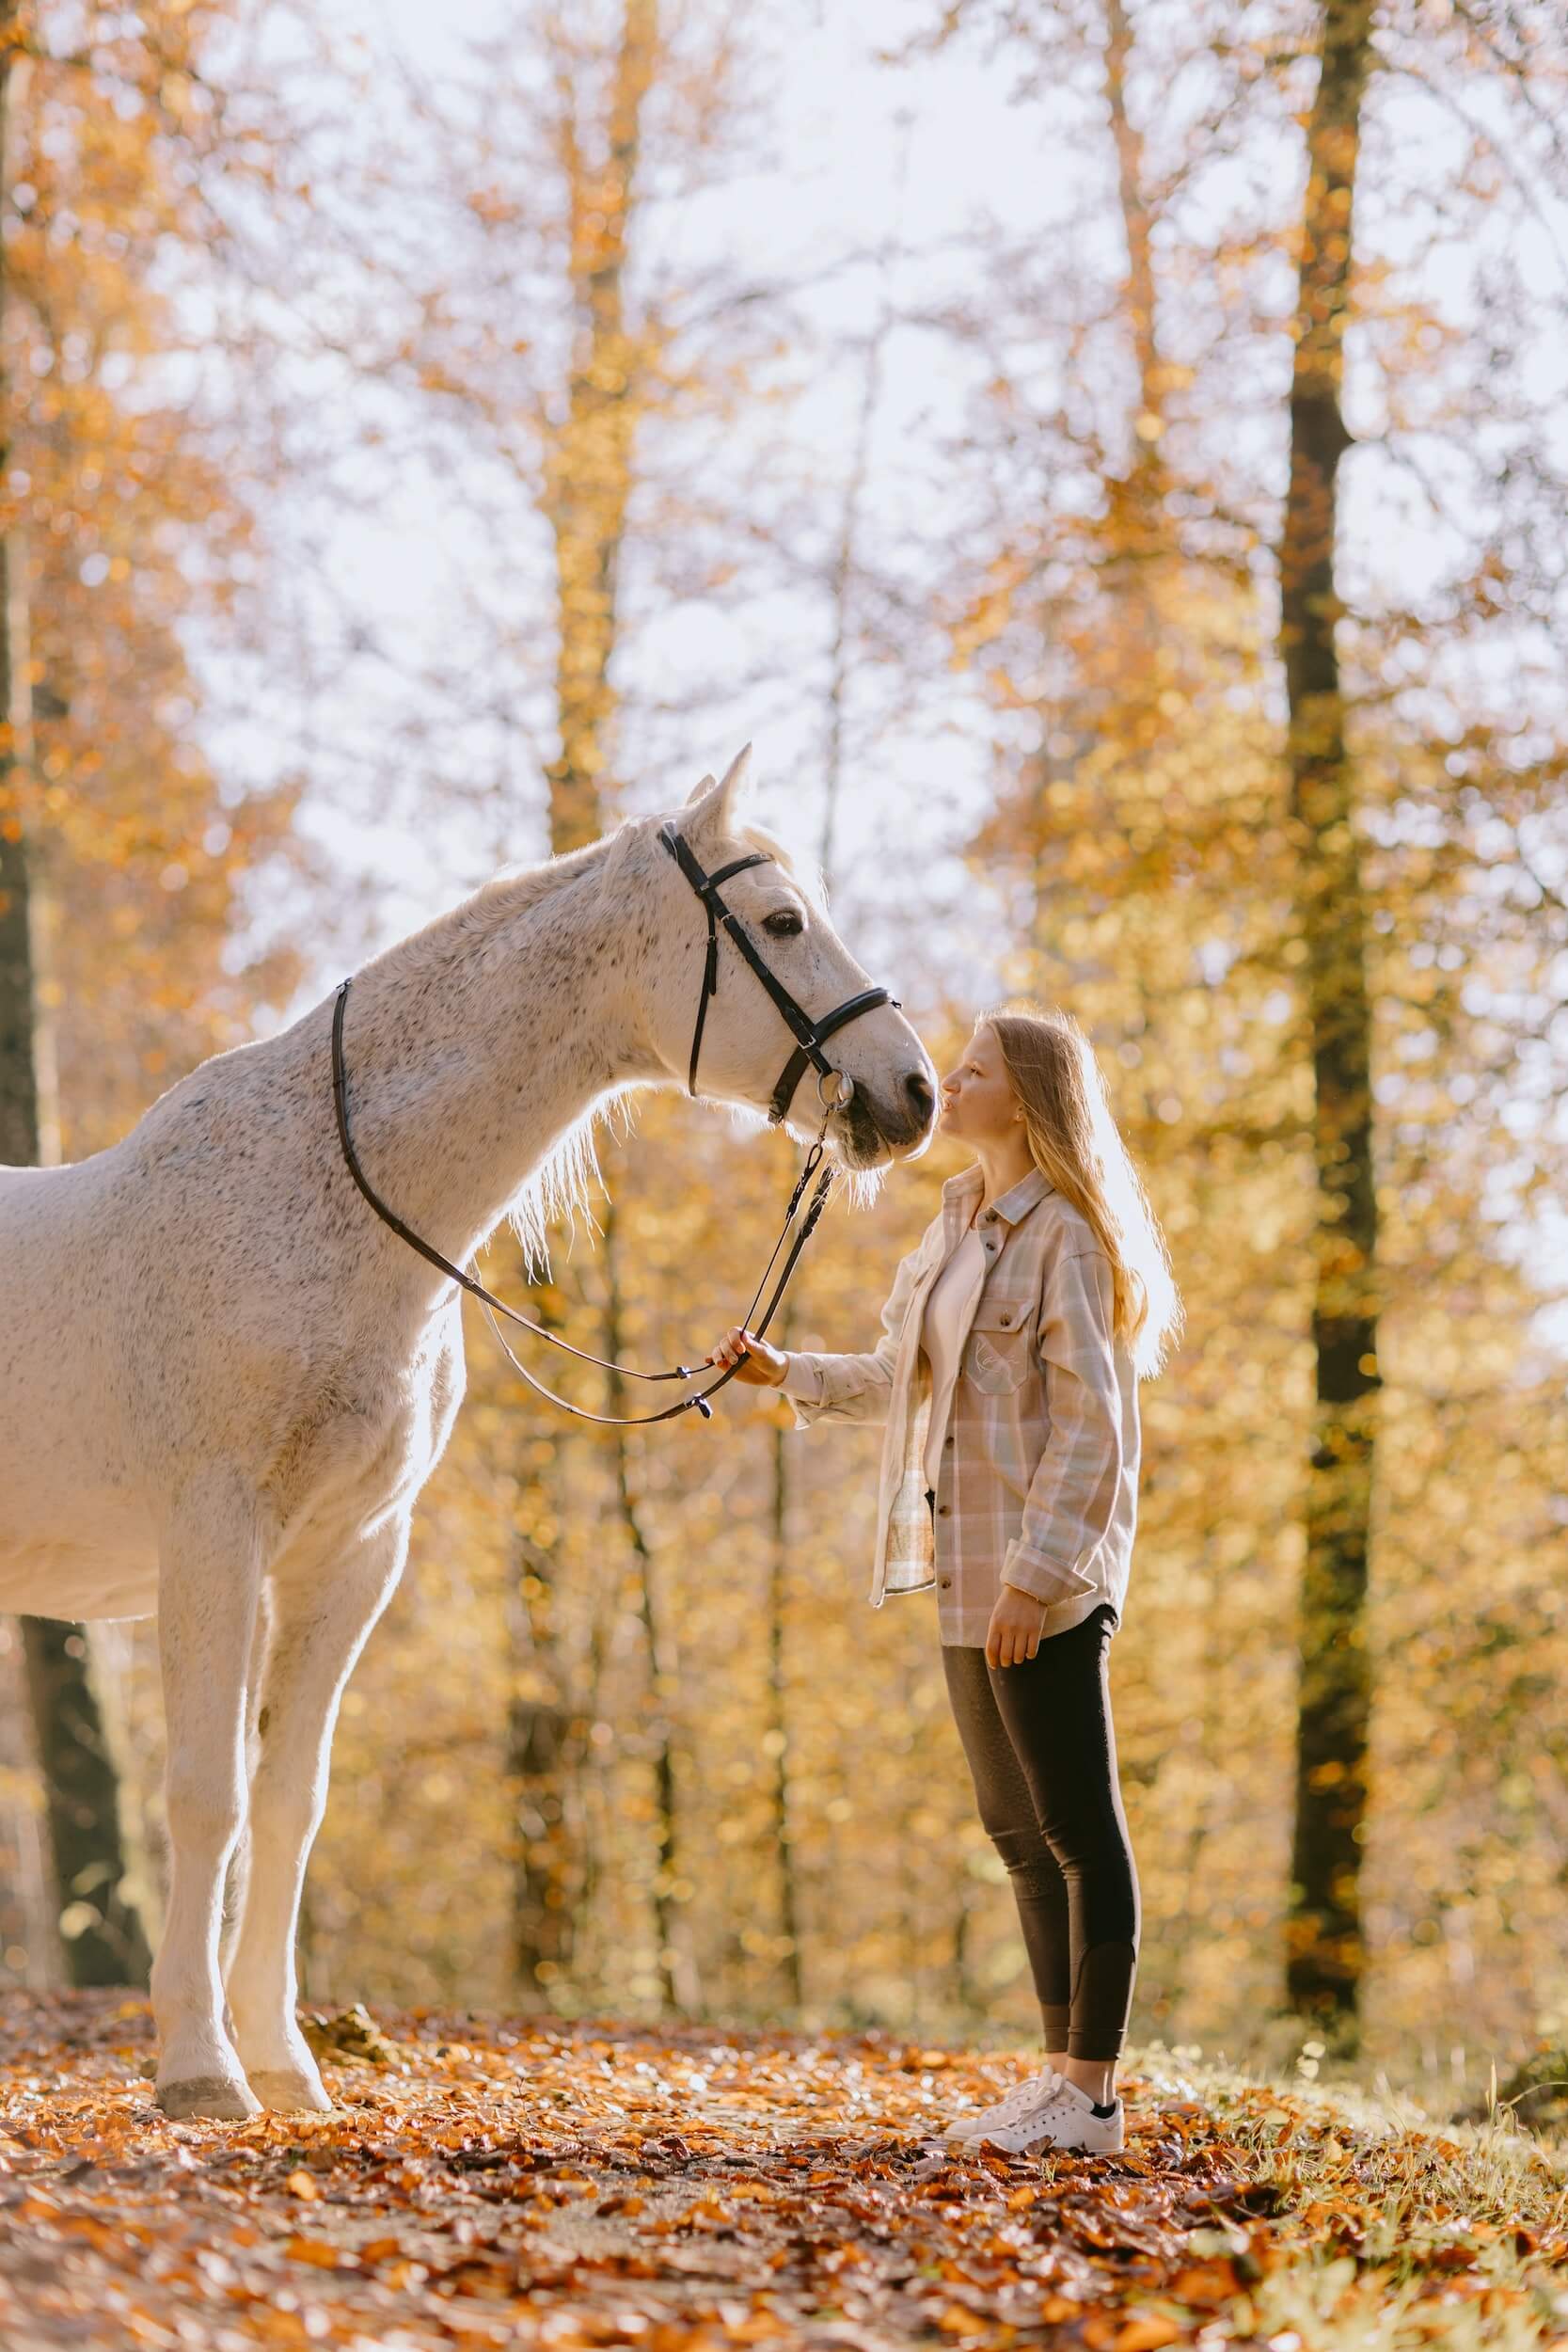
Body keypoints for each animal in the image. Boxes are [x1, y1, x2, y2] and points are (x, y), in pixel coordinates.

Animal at [0, 762, 930, 2126]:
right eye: (780, 924)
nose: (912, 1093)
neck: (321, 1203)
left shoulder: (348, 1558)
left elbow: (288, 1805)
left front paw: (281, 2065)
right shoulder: (212, 1540)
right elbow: (208, 1797)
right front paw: (199, 2068)